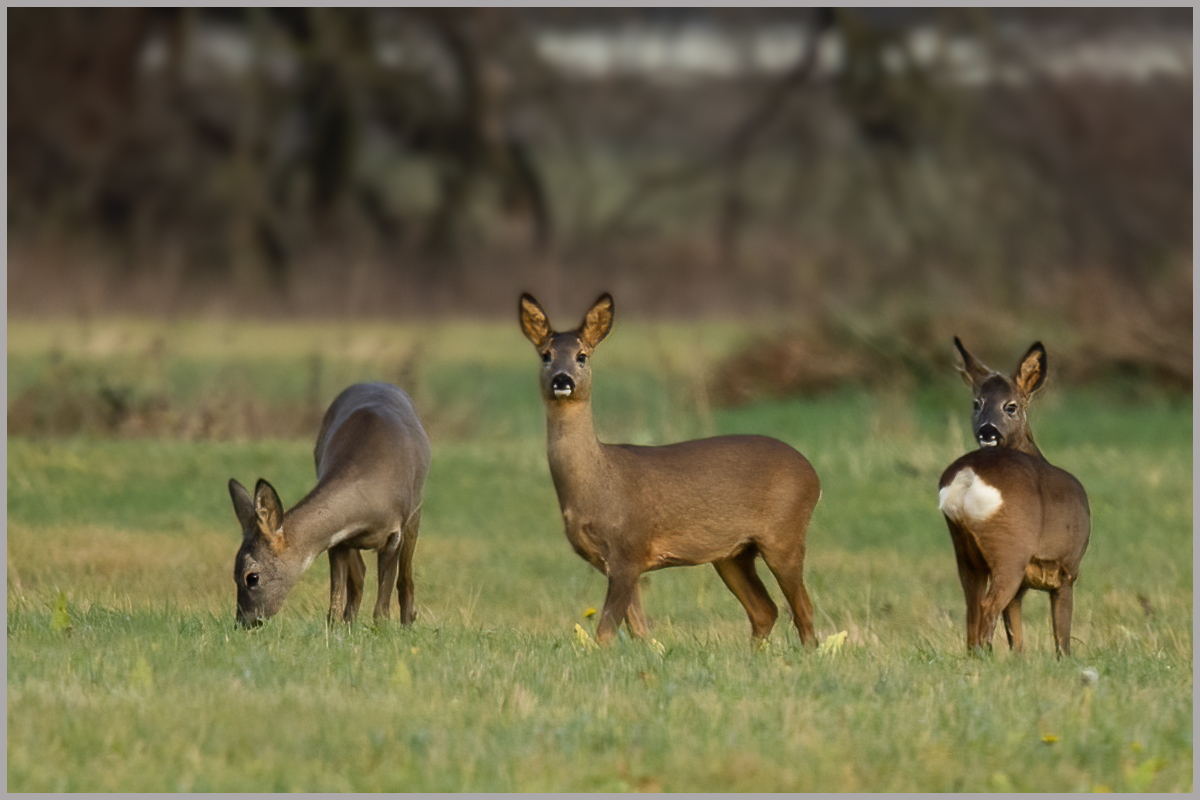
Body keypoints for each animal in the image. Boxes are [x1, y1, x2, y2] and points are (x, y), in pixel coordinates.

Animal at [226, 383, 429, 633]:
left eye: (251, 577)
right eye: (234, 575)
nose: (243, 621)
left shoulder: (394, 532)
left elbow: (383, 603)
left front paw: (382, 629)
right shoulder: (337, 539)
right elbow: (336, 600)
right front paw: (336, 630)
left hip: (416, 510)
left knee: (406, 577)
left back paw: (407, 621)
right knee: (360, 574)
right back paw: (352, 621)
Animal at [520, 291, 820, 647]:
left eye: (582, 356)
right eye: (546, 355)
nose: (562, 380)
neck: (597, 483)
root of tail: (814, 475)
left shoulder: (629, 550)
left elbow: (606, 631)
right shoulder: (615, 562)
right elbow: (639, 631)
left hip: (784, 535)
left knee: (803, 610)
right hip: (732, 554)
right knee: (765, 610)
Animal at [940, 338, 1094, 657]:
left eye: (1010, 406)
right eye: (977, 403)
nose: (987, 431)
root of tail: (968, 476)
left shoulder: (1024, 586)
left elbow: (1017, 640)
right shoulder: (1067, 570)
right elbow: (1061, 638)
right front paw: (1066, 661)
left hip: (964, 550)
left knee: (972, 608)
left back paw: (975, 656)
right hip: (1010, 550)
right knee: (987, 605)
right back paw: (985, 657)